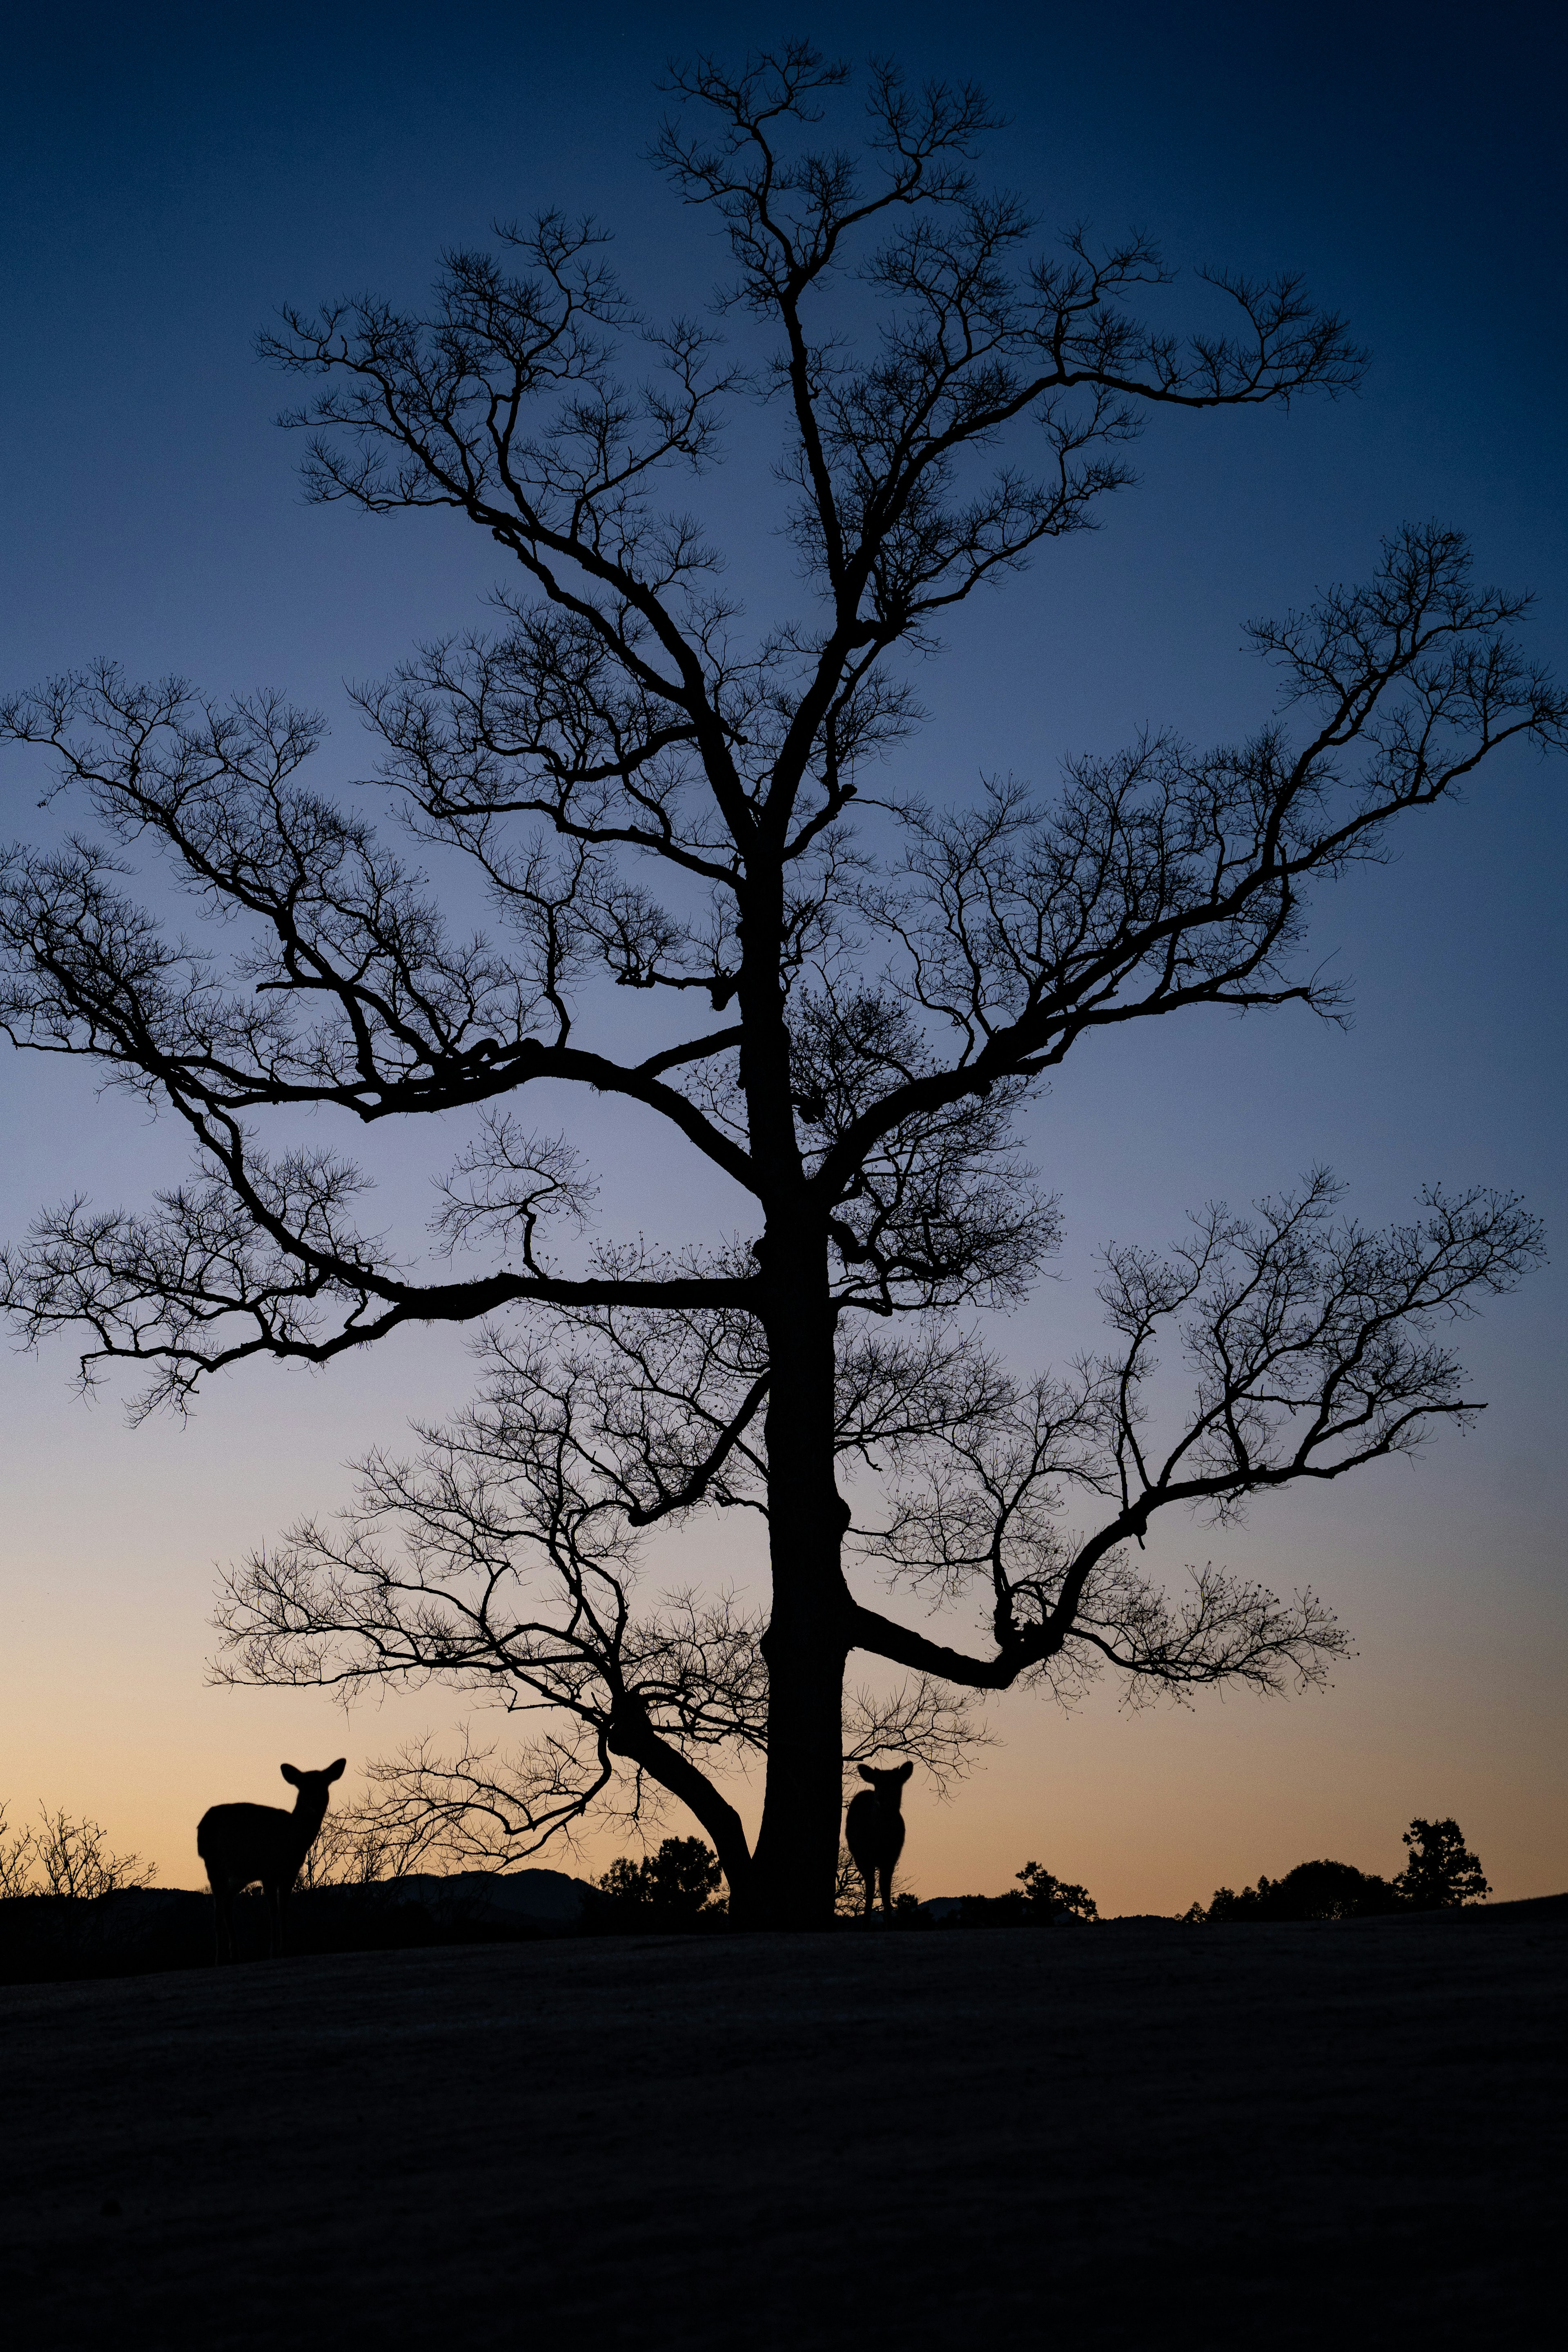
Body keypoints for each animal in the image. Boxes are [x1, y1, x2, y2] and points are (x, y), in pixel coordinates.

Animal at [196, 1759, 345, 1957]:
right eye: (304, 1787)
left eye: (325, 1785)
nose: (316, 1803)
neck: (292, 1838)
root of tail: (202, 1826)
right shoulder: (268, 1871)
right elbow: (273, 1910)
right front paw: (273, 1951)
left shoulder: (290, 1873)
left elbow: (284, 1909)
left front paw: (285, 1949)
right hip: (214, 1863)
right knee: (218, 1908)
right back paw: (220, 1957)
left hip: (241, 1875)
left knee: (227, 1901)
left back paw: (235, 1952)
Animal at [846, 1768, 921, 1910]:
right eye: (877, 1783)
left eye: (894, 1782)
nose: (880, 1797)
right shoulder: (865, 1857)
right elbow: (871, 1888)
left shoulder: (891, 1858)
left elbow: (886, 1889)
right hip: (858, 1855)